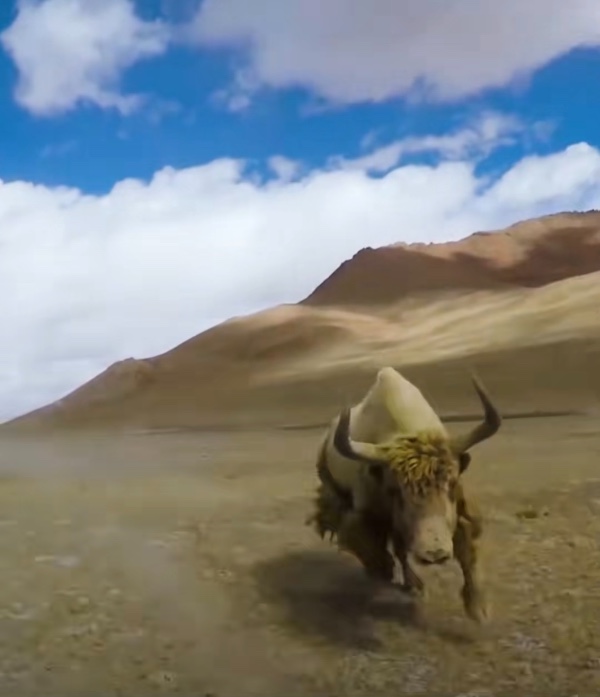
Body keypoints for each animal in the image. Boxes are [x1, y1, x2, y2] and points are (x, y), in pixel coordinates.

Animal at [306, 366, 501, 622]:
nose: (434, 554)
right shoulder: (370, 514)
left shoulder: (458, 509)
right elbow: (376, 552)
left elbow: (466, 551)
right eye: (395, 489)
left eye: (450, 483)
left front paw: (479, 609)